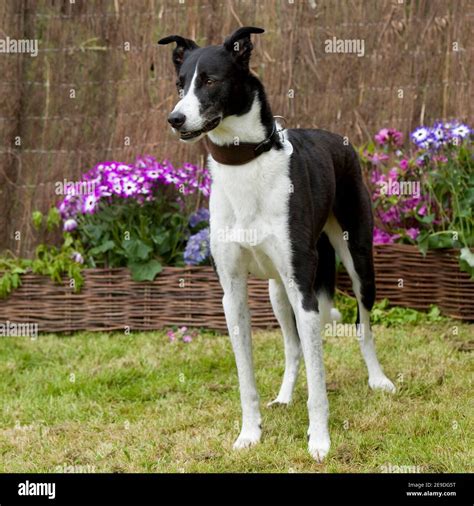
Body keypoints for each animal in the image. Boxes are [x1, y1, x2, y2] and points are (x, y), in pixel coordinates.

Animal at [159, 27, 396, 462]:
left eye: (211, 81)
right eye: (180, 84)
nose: (175, 119)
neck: (245, 162)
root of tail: (336, 138)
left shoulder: (304, 289)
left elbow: (319, 382)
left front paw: (319, 441)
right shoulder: (233, 295)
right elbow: (247, 379)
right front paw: (249, 434)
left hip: (358, 261)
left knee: (363, 327)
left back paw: (378, 379)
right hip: (275, 290)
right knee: (293, 346)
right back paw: (285, 396)